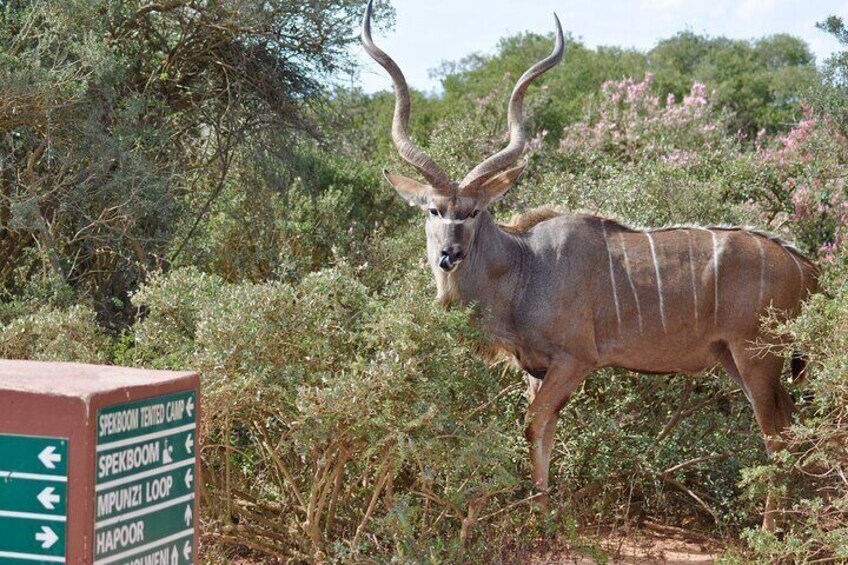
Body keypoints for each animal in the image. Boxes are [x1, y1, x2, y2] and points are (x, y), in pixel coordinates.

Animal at [362, 0, 820, 528]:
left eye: (474, 212)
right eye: (434, 210)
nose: (448, 255)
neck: (524, 268)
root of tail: (804, 265)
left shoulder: (574, 360)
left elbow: (532, 425)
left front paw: (538, 519)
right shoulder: (536, 368)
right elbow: (544, 433)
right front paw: (541, 511)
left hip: (757, 356)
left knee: (778, 436)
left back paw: (769, 530)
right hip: (736, 359)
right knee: (790, 427)